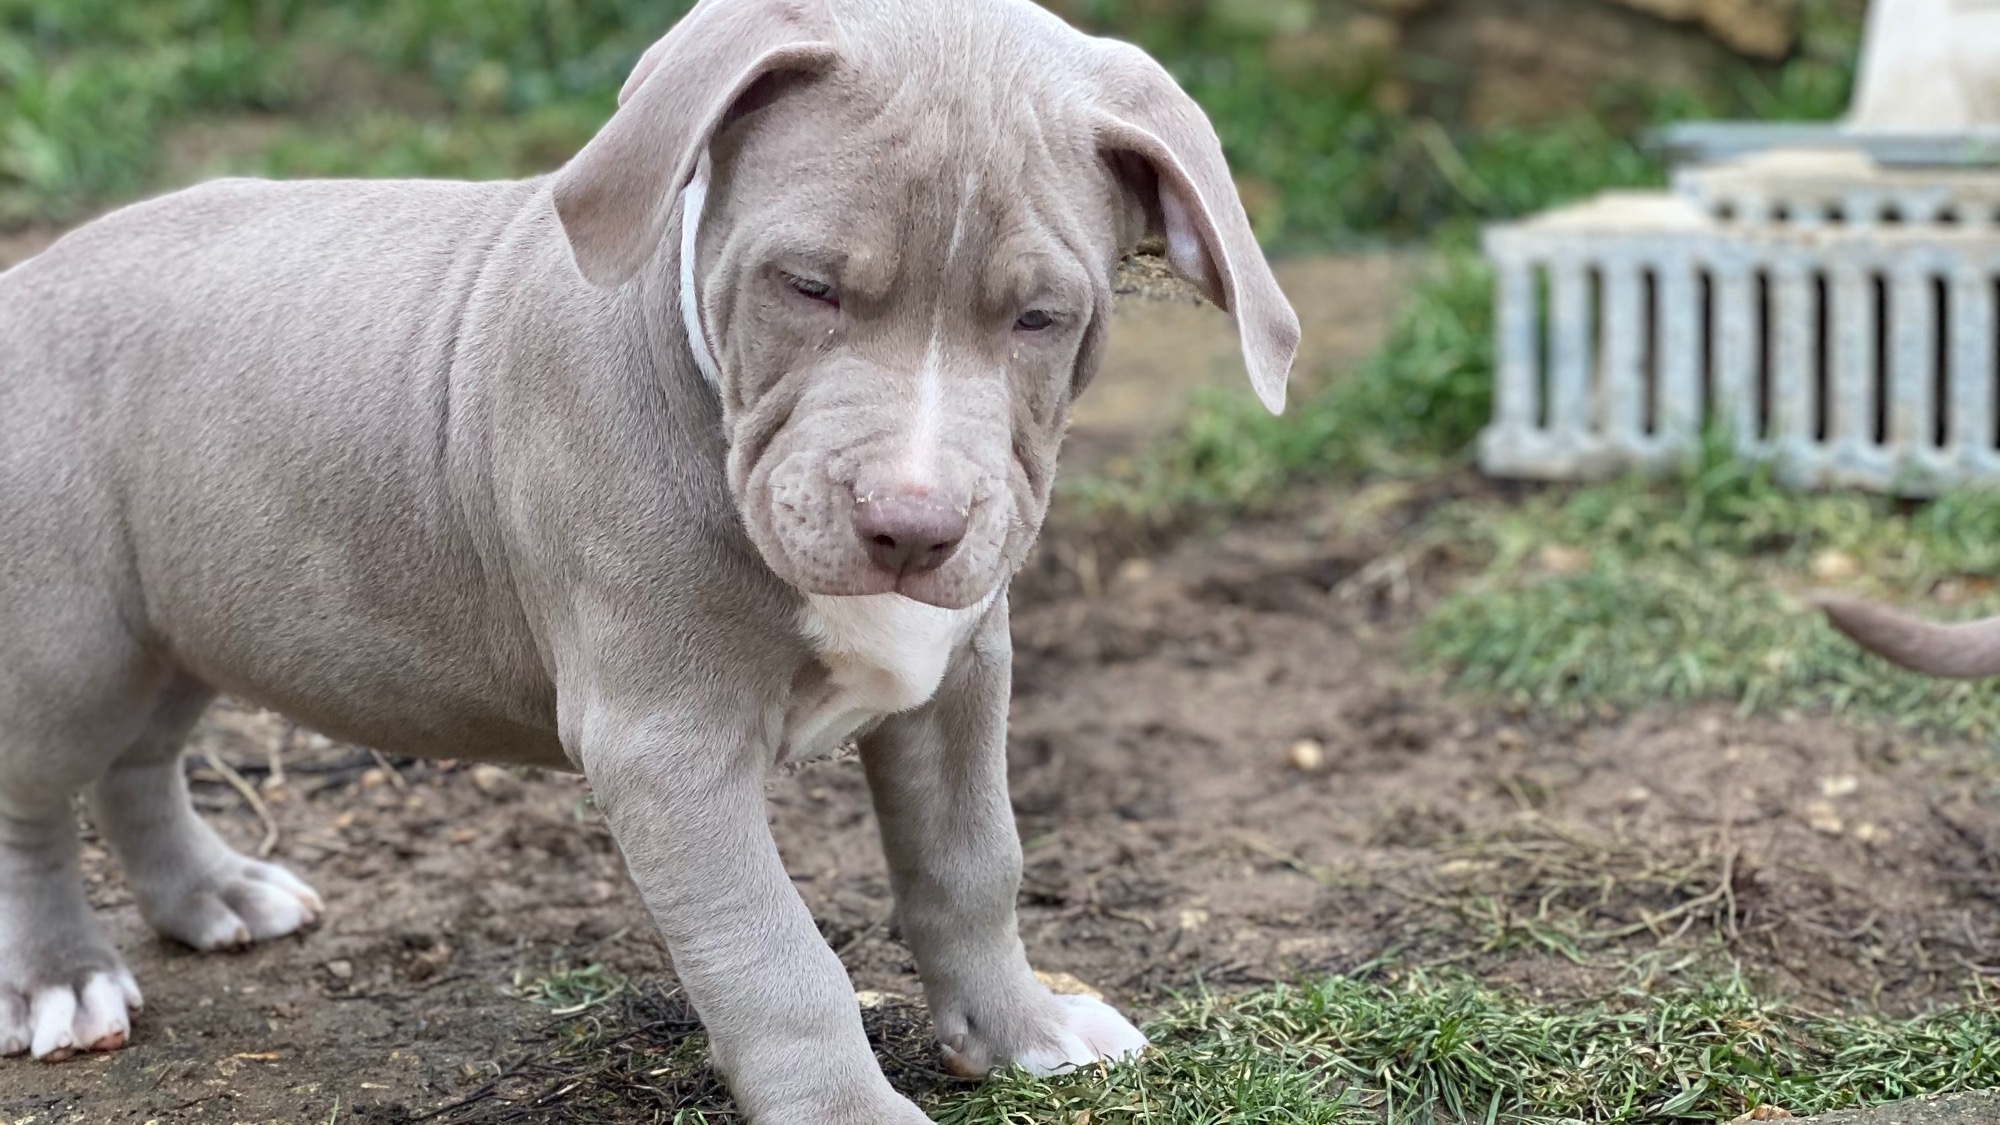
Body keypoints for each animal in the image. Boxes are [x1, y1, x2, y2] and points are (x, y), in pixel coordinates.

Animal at [0, 0, 1296, 1104]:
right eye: (807, 286)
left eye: (1041, 319)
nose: (911, 525)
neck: (705, 383)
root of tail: (29, 278)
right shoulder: (665, 746)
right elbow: (775, 960)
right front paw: (846, 1113)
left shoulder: (961, 675)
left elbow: (972, 864)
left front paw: (1023, 1028)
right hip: (65, 641)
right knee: (34, 804)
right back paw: (63, 980)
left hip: (181, 620)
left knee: (137, 761)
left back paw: (212, 894)